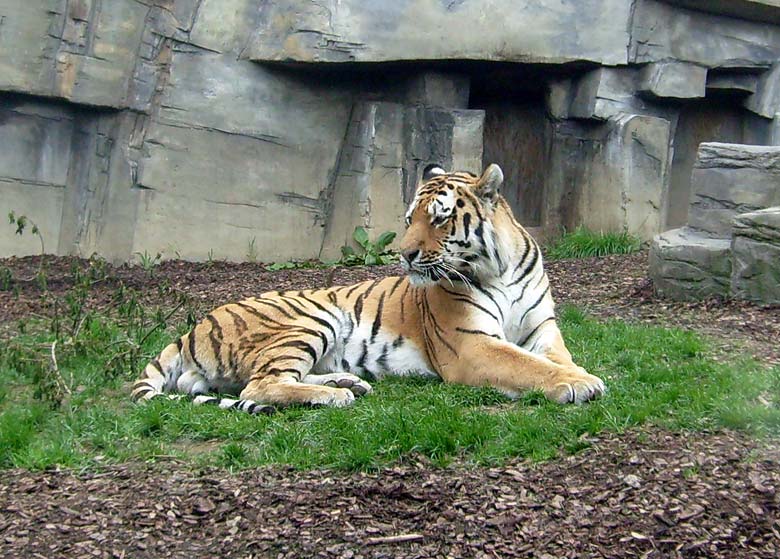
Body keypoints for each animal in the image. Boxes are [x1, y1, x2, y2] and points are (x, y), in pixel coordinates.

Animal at [133, 162, 604, 412]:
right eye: (410, 218)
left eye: (439, 218)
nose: (405, 254)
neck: (498, 268)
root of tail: (191, 328)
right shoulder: (471, 344)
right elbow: (527, 366)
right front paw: (581, 384)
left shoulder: (542, 331)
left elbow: (552, 359)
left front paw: (579, 374)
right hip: (310, 318)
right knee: (261, 384)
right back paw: (337, 396)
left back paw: (347, 382)